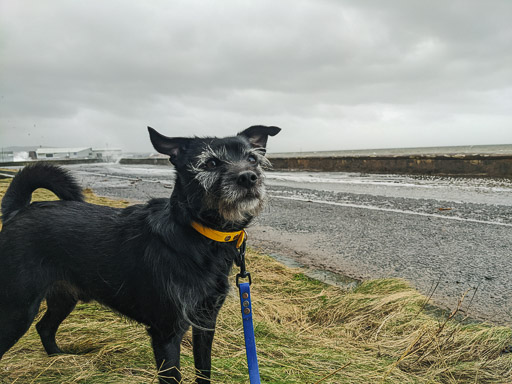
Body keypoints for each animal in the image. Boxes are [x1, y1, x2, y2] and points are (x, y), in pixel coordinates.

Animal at [0, 124, 280, 382]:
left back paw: (59, 359)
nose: (248, 177)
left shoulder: (205, 323)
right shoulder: (166, 334)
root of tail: (18, 211)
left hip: (63, 297)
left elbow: (204, 371)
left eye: (252, 159)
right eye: (210, 163)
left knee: (44, 327)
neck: (197, 234)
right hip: (17, 309)